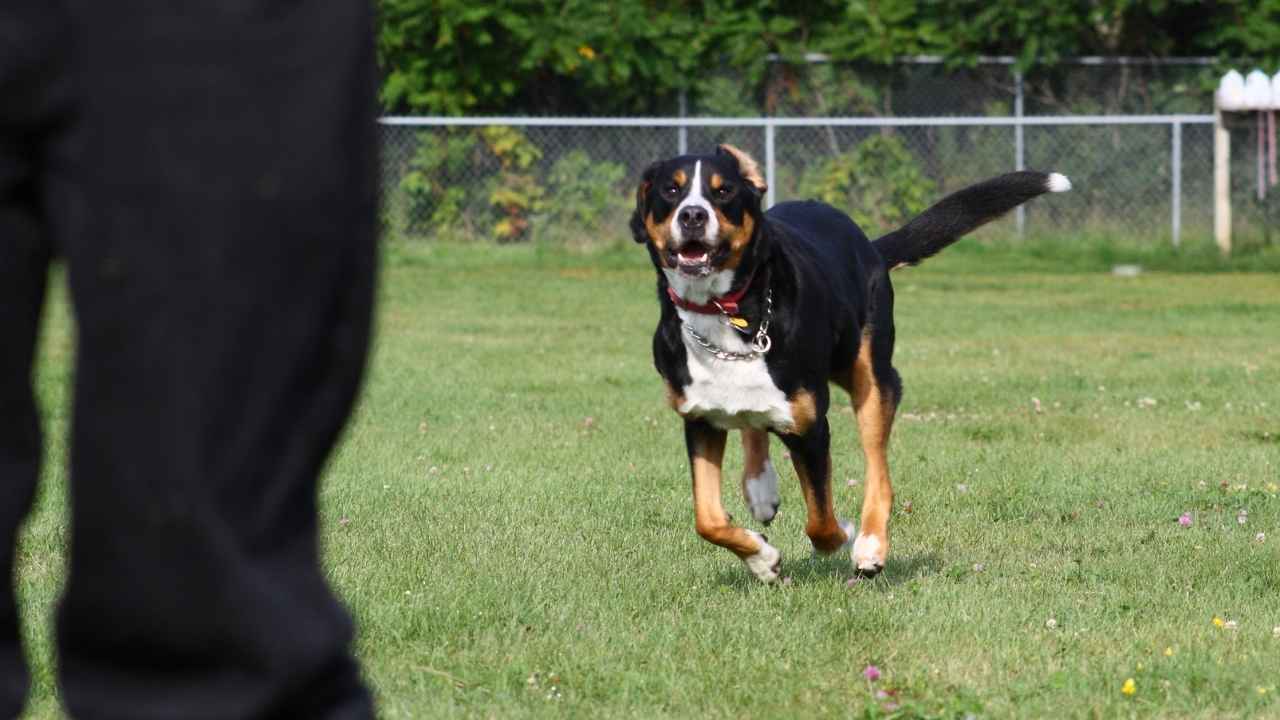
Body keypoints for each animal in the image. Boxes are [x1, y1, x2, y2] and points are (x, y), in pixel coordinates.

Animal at [629, 146, 1070, 584]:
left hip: (873, 379)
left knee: (879, 473)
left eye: (723, 192)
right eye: (671, 190)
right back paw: (761, 489)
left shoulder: (810, 426)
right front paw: (763, 559)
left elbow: (820, 522)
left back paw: (870, 545)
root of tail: (868, 246)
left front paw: (839, 534)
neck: (724, 313)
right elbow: (708, 520)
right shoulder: (700, 419)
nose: (692, 215)